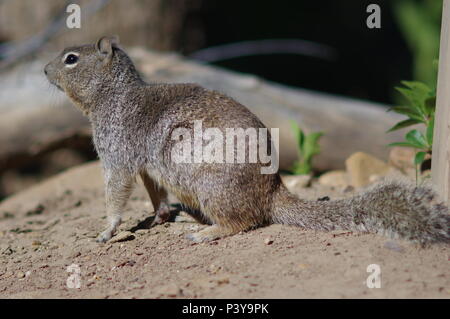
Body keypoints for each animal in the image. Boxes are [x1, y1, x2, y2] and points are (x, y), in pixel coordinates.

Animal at [44, 36, 450, 245]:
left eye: (71, 58)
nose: (44, 69)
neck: (113, 96)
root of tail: (271, 189)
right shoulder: (145, 166)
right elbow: (153, 192)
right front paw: (159, 215)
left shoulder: (117, 154)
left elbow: (115, 192)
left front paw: (107, 229)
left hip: (212, 186)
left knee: (244, 221)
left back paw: (206, 232)